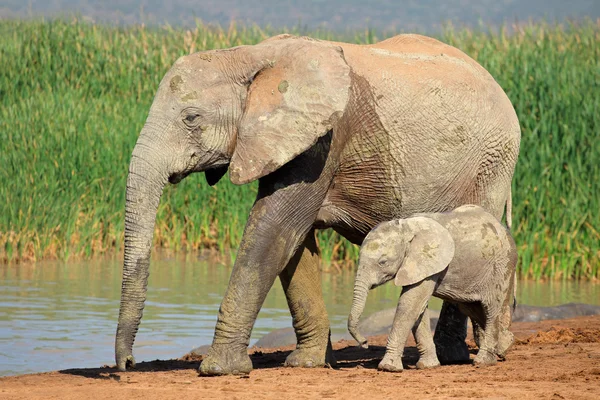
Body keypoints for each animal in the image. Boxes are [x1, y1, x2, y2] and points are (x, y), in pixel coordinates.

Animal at [350, 206, 516, 372]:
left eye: (383, 262)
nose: (365, 343)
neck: (406, 228)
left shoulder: (428, 262)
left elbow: (409, 304)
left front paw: (388, 367)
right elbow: (419, 309)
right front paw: (428, 366)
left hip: (500, 267)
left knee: (491, 309)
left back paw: (483, 361)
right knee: (472, 308)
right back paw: (504, 346)